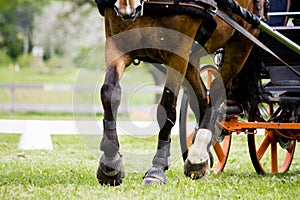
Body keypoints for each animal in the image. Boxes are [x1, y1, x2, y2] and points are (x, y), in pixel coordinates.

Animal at [96, 0, 262, 186]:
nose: (127, 8)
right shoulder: (117, 46)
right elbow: (109, 93)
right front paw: (110, 162)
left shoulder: (178, 53)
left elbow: (166, 108)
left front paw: (157, 168)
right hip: (193, 58)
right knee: (203, 98)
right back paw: (202, 154)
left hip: (241, 45)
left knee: (216, 92)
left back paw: (197, 154)